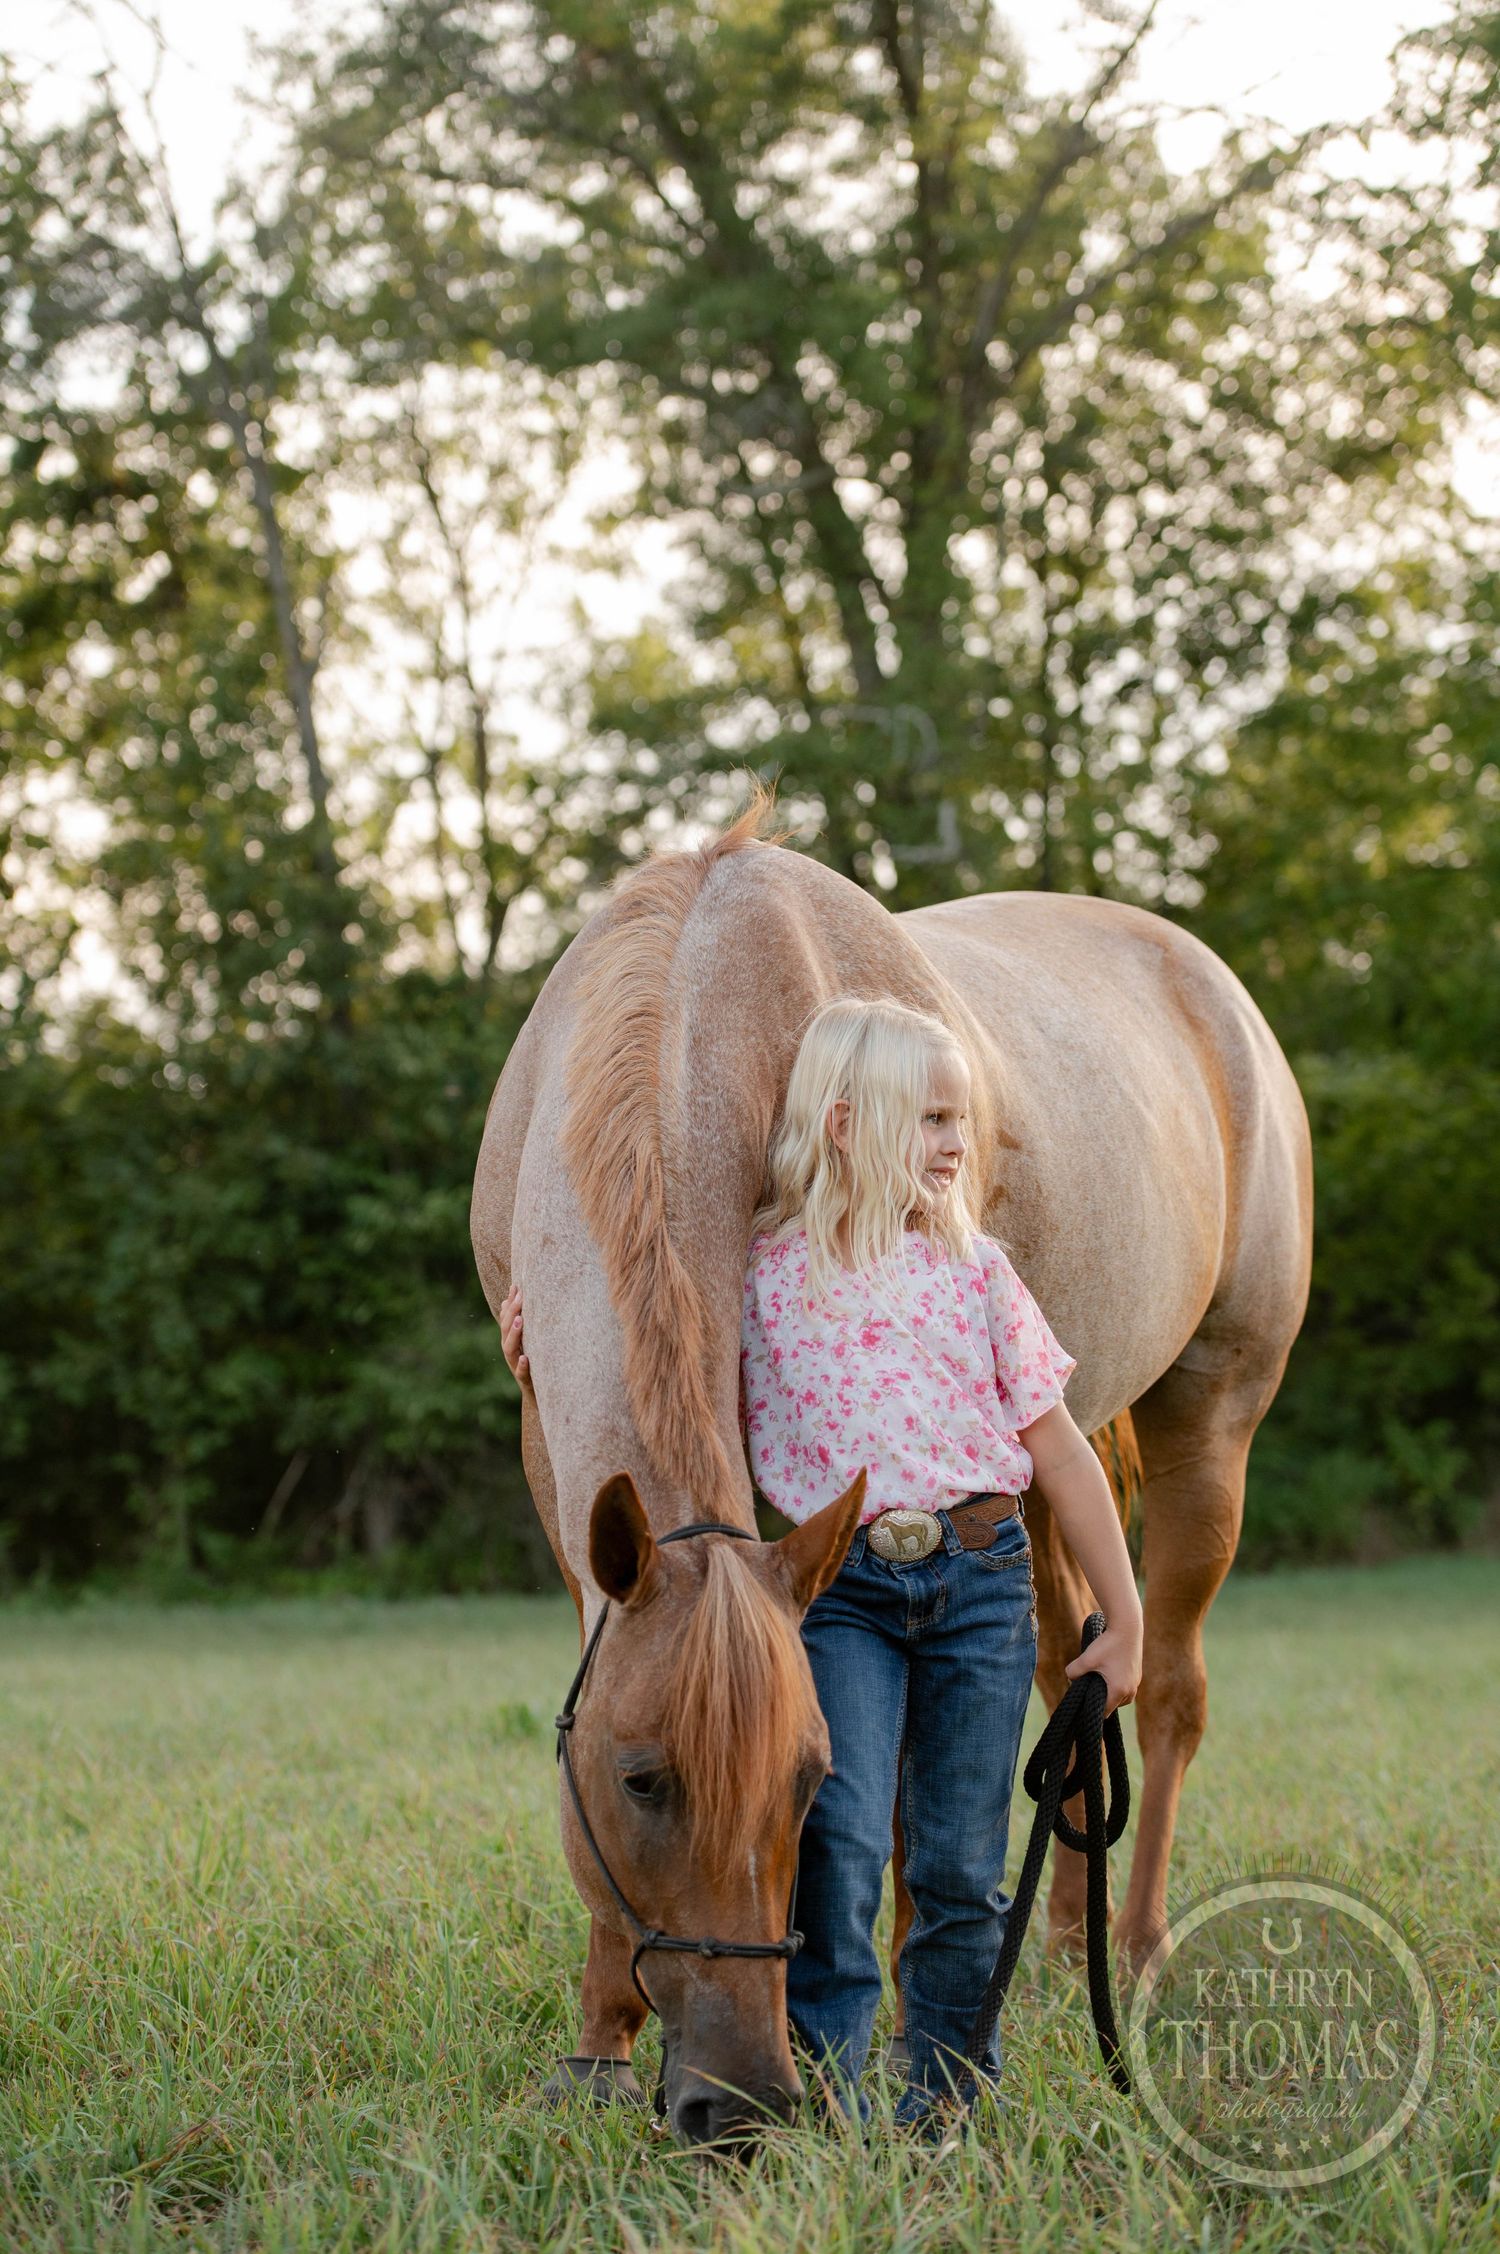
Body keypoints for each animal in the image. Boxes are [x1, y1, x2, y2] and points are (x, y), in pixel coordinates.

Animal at [470, 783, 1312, 2144]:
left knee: (1165, 1689)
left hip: (1214, 1414)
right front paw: (599, 2042)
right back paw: (1059, 1937)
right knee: (1071, 1682)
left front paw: (924, 2044)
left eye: (811, 1779)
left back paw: (1130, 1948)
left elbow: (920, 1803)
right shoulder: (561, 1459)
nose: (738, 2104)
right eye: (640, 1779)